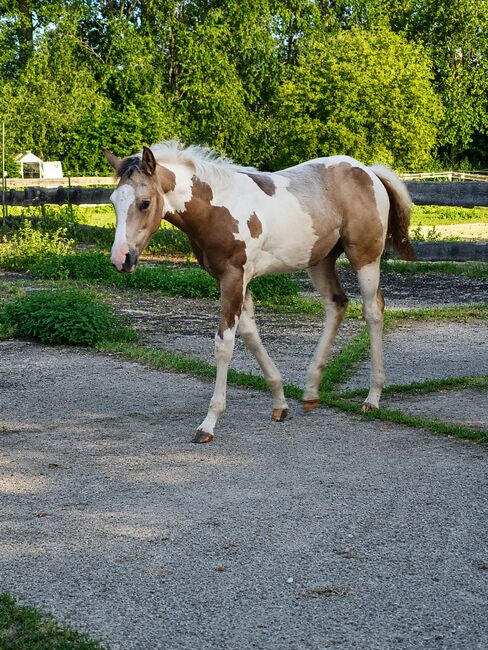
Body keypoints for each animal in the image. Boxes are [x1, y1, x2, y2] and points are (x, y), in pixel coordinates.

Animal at [104, 142, 415, 443]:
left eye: (145, 203)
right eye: (113, 202)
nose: (121, 259)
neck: (216, 209)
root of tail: (368, 171)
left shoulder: (234, 278)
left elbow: (224, 345)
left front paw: (208, 423)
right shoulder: (229, 280)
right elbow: (250, 334)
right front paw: (280, 402)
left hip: (365, 257)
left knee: (373, 311)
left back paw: (372, 396)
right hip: (320, 260)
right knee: (336, 304)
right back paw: (311, 392)